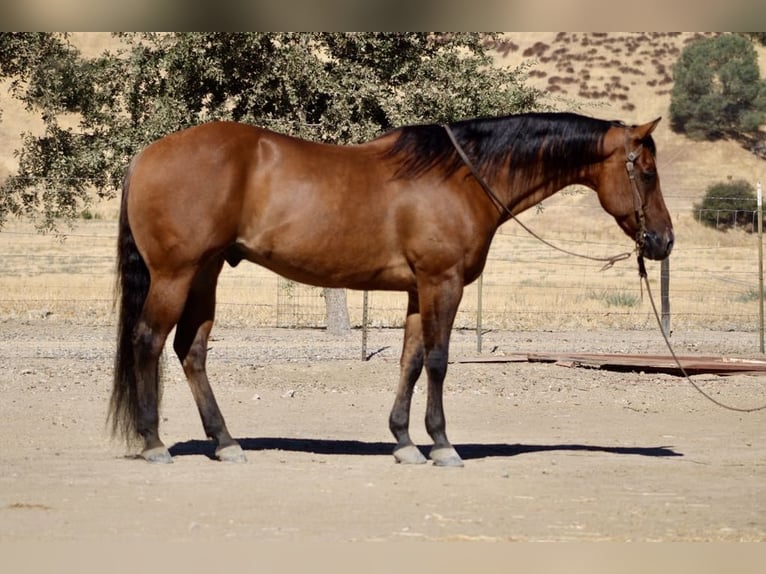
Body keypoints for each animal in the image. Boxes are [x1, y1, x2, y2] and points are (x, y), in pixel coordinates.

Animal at [111, 112, 676, 468]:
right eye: (647, 172)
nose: (664, 241)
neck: (463, 177)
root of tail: (144, 155)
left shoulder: (417, 291)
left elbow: (410, 360)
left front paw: (405, 442)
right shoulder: (443, 283)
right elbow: (439, 361)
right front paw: (443, 445)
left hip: (205, 273)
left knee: (191, 350)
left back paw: (225, 442)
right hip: (176, 274)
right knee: (149, 342)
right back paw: (154, 442)